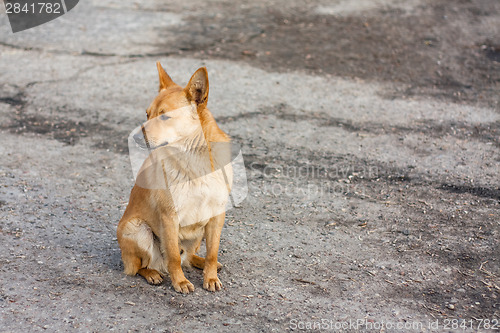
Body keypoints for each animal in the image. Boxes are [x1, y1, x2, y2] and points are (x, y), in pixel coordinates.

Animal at [117, 61, 232, 292]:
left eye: (164, 116)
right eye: (147, 114)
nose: (135, 137)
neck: (194, 159)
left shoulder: (217, 214)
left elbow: (212, 253)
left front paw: (210, 276)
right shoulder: (169, 216)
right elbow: (173, 257)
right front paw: (180, 282)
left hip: (198, 232)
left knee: (189, 255)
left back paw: (199, 261)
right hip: (137, 229)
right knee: (141, 266)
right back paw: (153, 273)